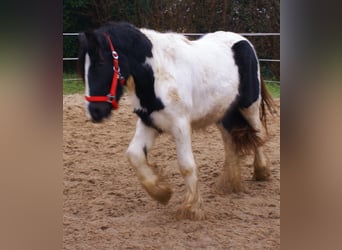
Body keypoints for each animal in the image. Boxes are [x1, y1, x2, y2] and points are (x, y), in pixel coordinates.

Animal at [78, 22, 276, 221]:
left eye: (100, 63)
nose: (94, 111)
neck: (158, 74)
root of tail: (243, 41)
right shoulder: (149, 122)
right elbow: (134, 155)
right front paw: (162, 193)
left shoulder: (180, 125)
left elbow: (186, 165)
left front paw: (192, 209)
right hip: (222, 112)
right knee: (230, 142)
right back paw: (228, 184)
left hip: (248, 106)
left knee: (257, 134)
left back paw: (261, 172)